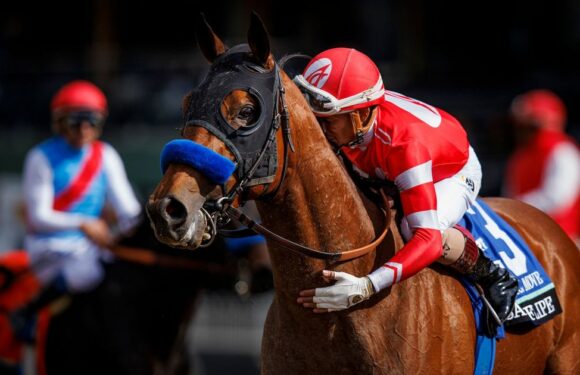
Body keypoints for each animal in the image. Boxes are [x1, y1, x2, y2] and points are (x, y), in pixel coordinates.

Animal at [146, 13, 580, 374]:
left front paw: (349, 290)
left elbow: (427, 237)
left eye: (247, 111)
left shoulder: (410, 154)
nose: (168, 209)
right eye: (187, 104)